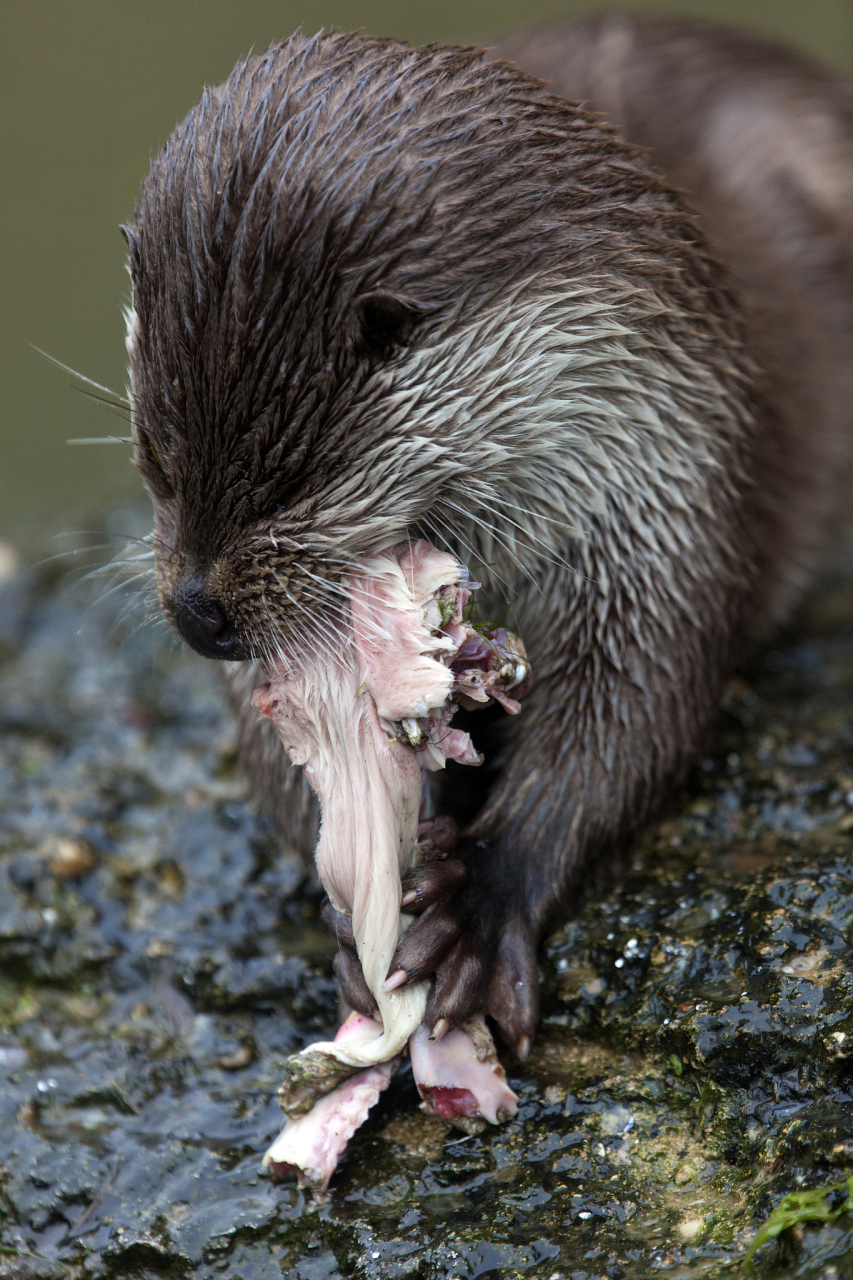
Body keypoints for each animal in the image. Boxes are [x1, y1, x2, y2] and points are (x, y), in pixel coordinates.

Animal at [122, 20, 850, 1054]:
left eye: (288, 482)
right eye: (155, 455)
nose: (196, 616)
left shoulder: (674, 487)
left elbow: (635, 709)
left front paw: (479, 901)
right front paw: (351, 912)